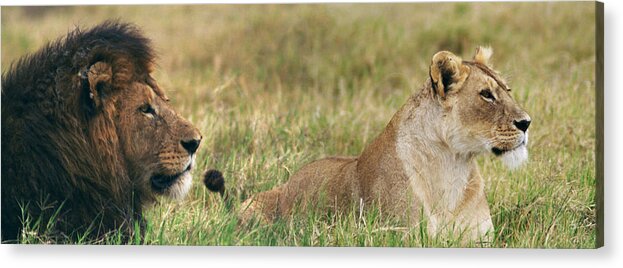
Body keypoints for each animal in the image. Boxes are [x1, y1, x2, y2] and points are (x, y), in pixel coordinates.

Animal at [238, 46, 532, 241]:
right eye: (486, 95)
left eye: (507, 91)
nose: (527, 122)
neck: (453, 164)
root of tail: (287, 184)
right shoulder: (402, 236)